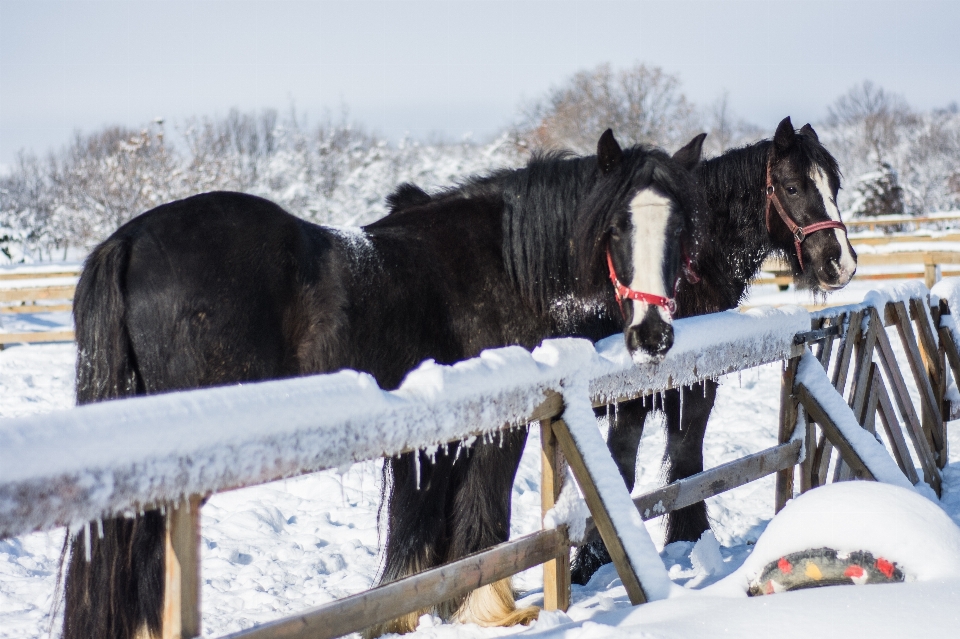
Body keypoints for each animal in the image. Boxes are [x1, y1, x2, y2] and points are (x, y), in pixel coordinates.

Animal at [62, 131, 704, 639]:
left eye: (681, 227)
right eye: (616, 227)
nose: (653, 334)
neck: (503, 262)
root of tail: (128, 242)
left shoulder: (435, 440)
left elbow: (420, 531)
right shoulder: (494, 428)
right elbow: (478, 519)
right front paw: (488, 612)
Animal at [572, 115, 860, 584]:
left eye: (834, 185)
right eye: (793, 187)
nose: (841, 264)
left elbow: (685, 469)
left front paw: (686, 543)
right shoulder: (638, 402)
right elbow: (633, 474)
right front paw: (589, 566)